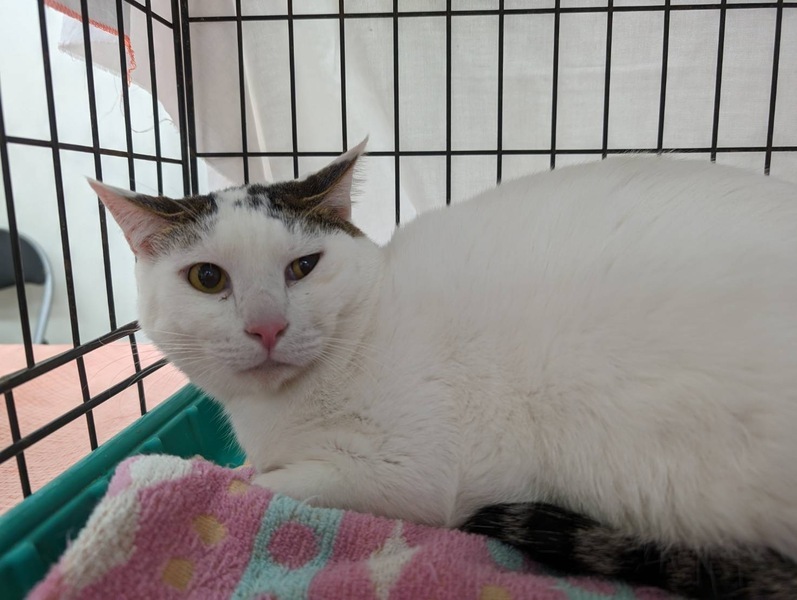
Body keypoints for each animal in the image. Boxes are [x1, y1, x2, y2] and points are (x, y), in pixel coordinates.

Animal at [90, 141, 797, 599]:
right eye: (207, 279)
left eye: (303, 267)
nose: (267, 327)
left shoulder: (411, 474)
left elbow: (261, 486)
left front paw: (221, 474)